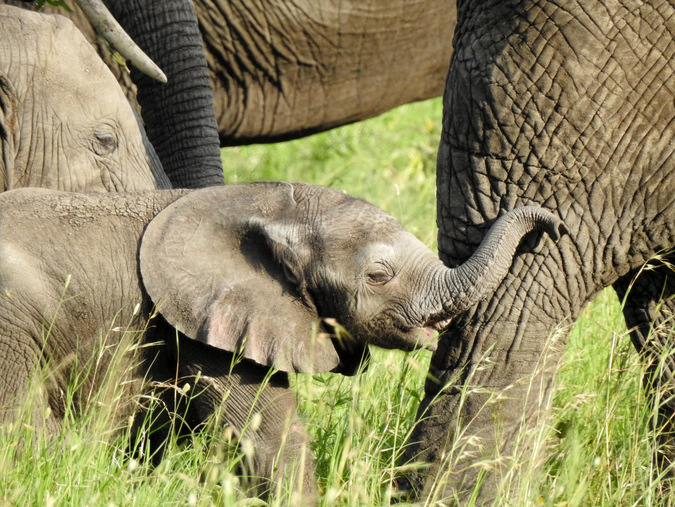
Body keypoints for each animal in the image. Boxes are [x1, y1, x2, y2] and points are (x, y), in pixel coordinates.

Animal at [0, 182, 564, 496]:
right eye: (379, 276)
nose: (553, 224)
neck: (265, 204)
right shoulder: (205, 318)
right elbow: (269, 435)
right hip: (12, 326)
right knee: (26, 431)